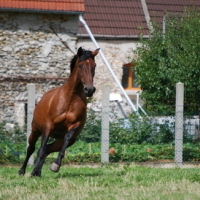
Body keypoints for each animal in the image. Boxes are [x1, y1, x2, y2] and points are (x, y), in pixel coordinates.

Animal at [19, 47, 100, 177]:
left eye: (94, 65)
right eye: (80, 65)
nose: (90, 90)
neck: (71, 98)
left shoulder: (74, 126)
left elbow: (65, 141)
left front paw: (55, 165)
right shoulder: (48, 126)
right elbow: (40, 150)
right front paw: (32, 172)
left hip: (61, 140)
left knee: (48, 149)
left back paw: (37, 172)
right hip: (35, 130)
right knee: (31, 148)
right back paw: (23, 171)